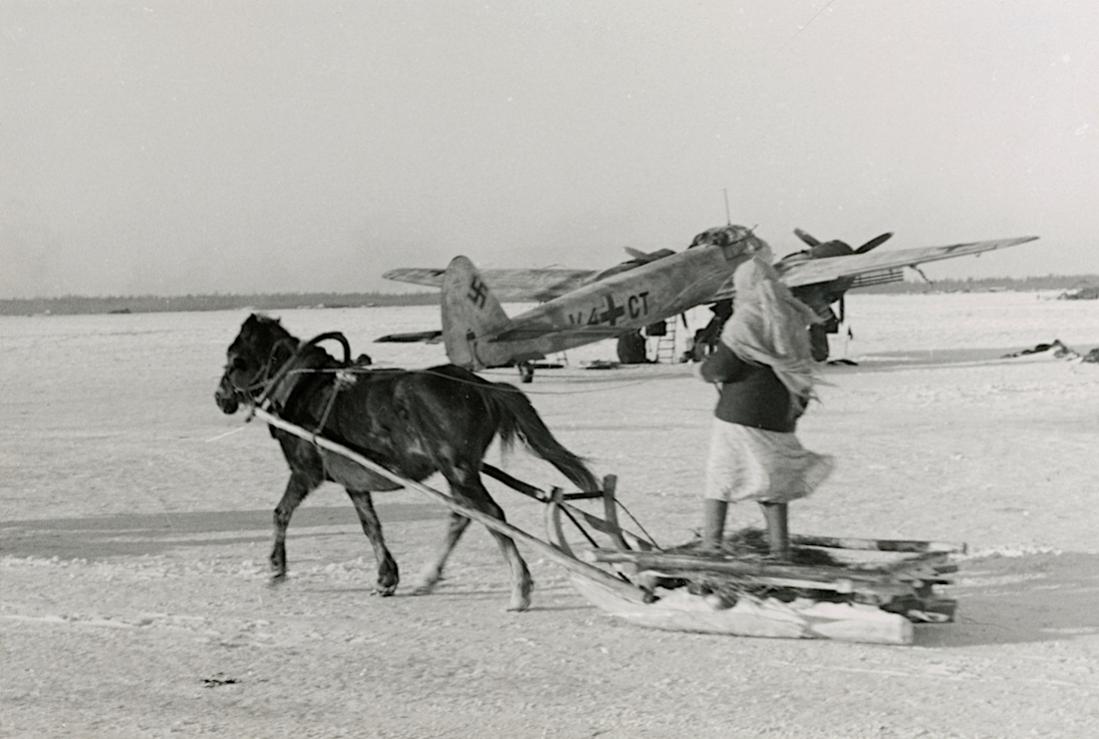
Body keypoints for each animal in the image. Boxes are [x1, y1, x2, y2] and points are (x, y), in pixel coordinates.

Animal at [212, 314, 593, 607]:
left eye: (235, 357)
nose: (220, 396)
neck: (302, 387)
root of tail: (481, 386)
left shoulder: (306, 471)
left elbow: (281, 513)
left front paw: (276, 569)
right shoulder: (355, 480)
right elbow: (371, 526)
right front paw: (386, 578)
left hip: (457, 467)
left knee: (491, 515)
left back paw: (519, 588)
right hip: (459, 470)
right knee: (463, 515)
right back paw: (429, 577)